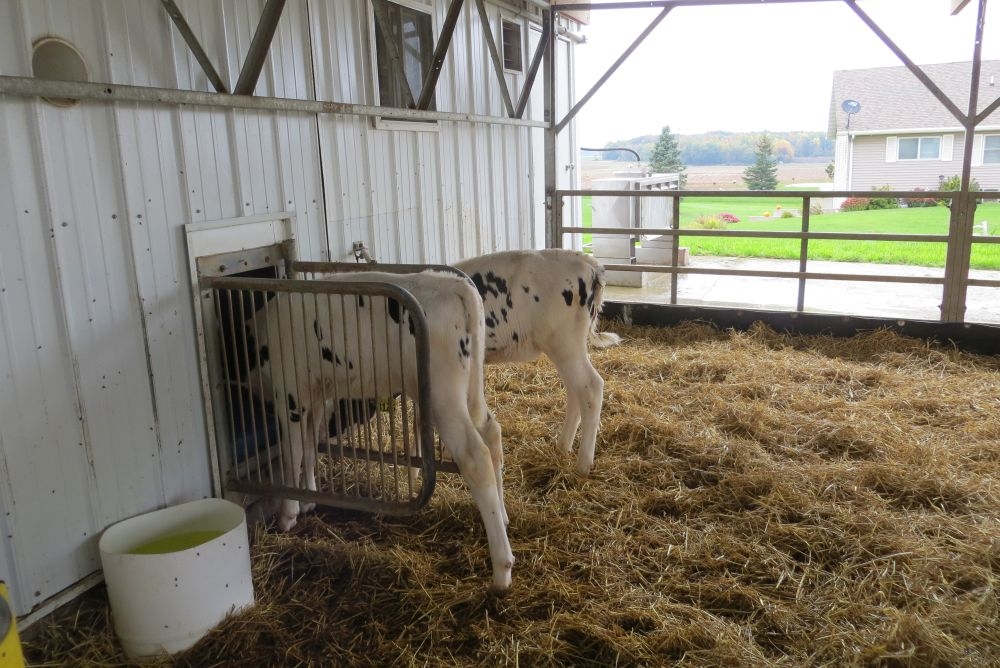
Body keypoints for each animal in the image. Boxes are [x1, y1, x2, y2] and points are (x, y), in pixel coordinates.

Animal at [245, 270, 514, 591]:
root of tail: (452, 283)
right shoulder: (316, 394)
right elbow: (310, 446)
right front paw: (309, 498)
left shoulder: (290, 394)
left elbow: (292, 453)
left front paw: (288, 514)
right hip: (471, 388)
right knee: (492, 432)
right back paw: (503, 516)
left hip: (443, 394)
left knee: (475, 456)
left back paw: (502, 569)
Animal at [454, 249, 621, 475]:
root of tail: (587, 261)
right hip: (562, 348)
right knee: (575, 391)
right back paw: (562, 447)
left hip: (565, 342)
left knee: (591, 387)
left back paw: (583, 465)